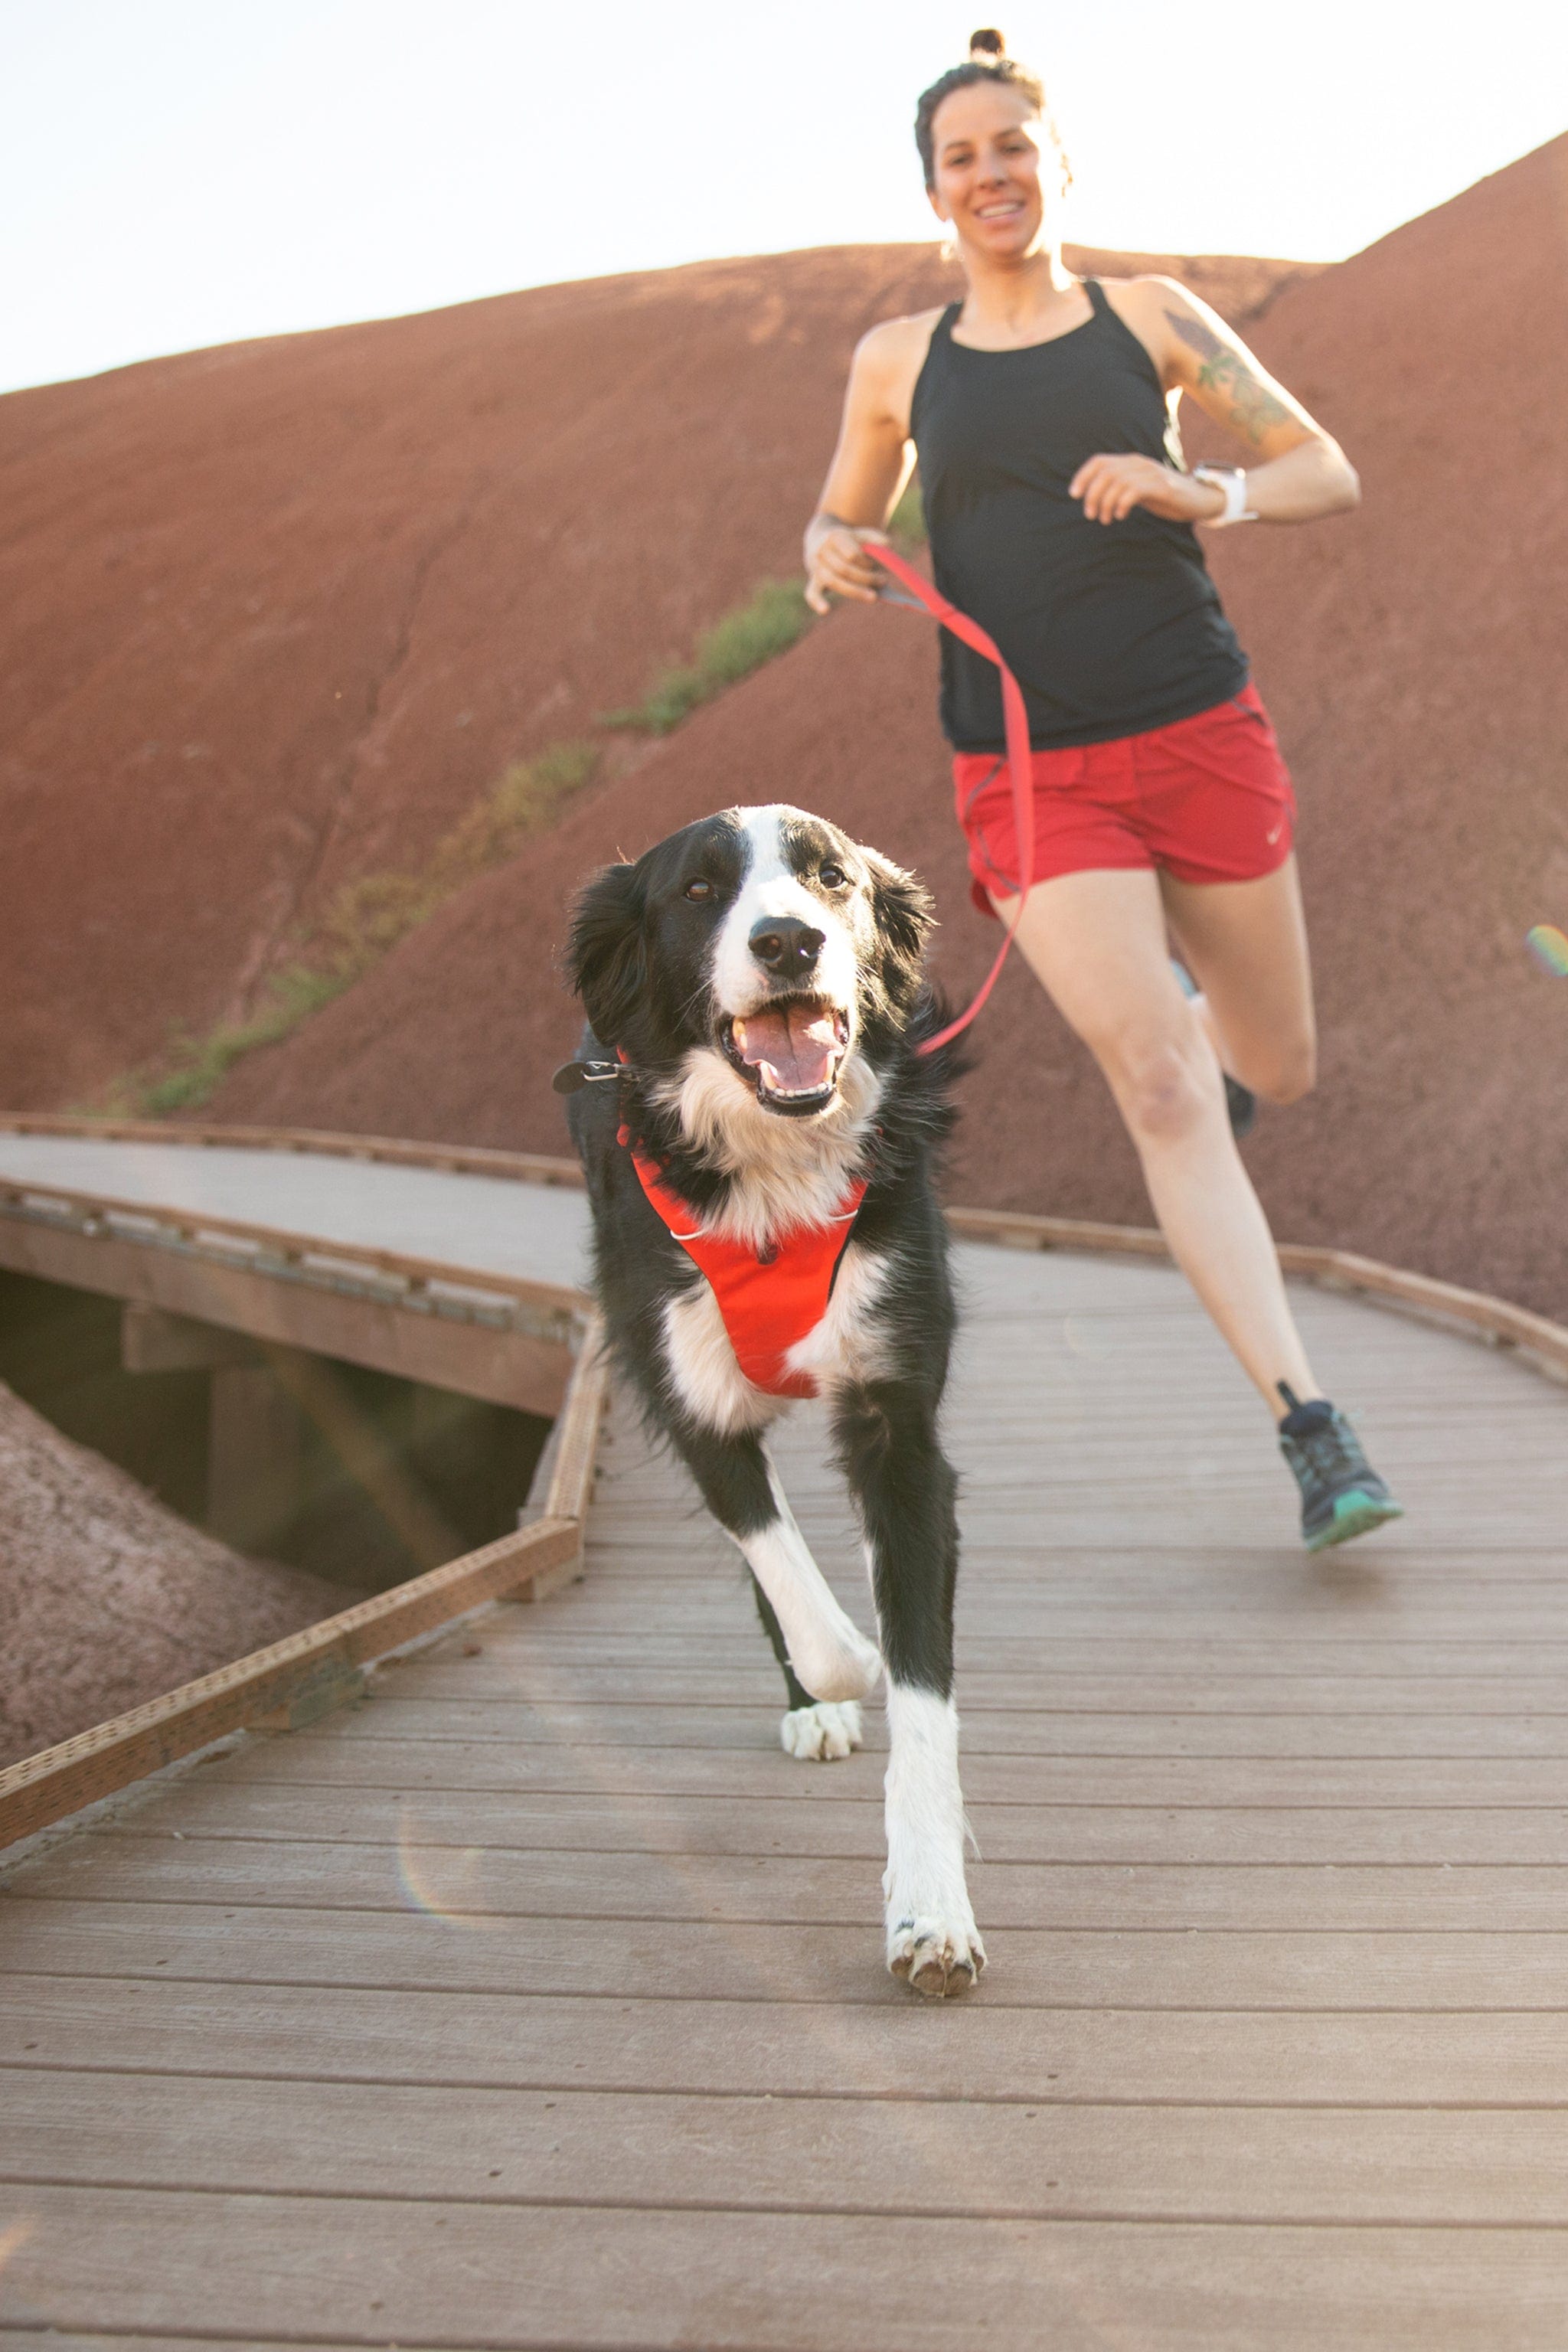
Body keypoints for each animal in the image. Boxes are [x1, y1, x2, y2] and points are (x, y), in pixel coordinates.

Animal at [561, 799, 982, 1994]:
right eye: (699, 892)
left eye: (832, 877)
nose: (789, 941)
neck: (773, 1166)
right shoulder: (692, 1403)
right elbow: (808, 1602)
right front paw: (836, 1678)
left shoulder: (897, 1419)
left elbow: (922, 1689)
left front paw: (931, 1914)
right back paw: (815, 1706)